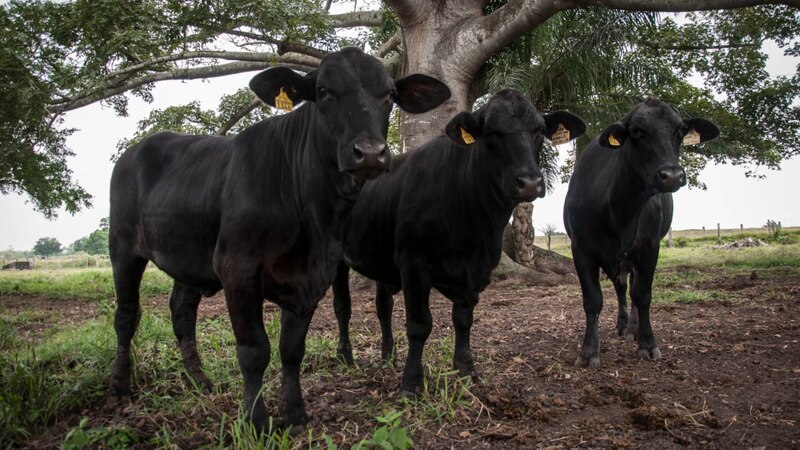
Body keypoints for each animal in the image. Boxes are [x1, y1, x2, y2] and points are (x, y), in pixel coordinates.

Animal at [108, 47, 450, 430]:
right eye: (324, 92)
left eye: (389, 94)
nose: (371, 152)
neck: (310, 214)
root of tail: (138, 148)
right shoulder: (238, 271)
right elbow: (255, 350)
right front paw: (255, 419)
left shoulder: (313, 277)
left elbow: (291, 349)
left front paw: (295, 414)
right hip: (123, 247)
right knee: (126, 315)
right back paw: (120, 387)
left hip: (190, 258)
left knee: (182, 313)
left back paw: (200, 381)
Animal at [332, 89, 588, 398]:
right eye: (491, 132)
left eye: (539, 130)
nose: (529, 182)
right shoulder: (413, 263)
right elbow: (419, 325)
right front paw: (411, 384)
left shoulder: (477, 270)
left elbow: (463, 319)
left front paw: (466, 371)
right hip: (337, 258)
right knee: (342, 306)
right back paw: (345, 357)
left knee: (383, 307)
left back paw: (387, 356)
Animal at [564, 97, 720, 366]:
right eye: (637, 131)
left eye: (681, 130)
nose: (672, 175)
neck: (618, 210)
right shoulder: (581, 249)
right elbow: (593, 300)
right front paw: (588, 351)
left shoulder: (649, 246)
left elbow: (643, 295)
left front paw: (647, 343)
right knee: (621, 289)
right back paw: (622, 325)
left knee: (634, 289)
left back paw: (634, 329)